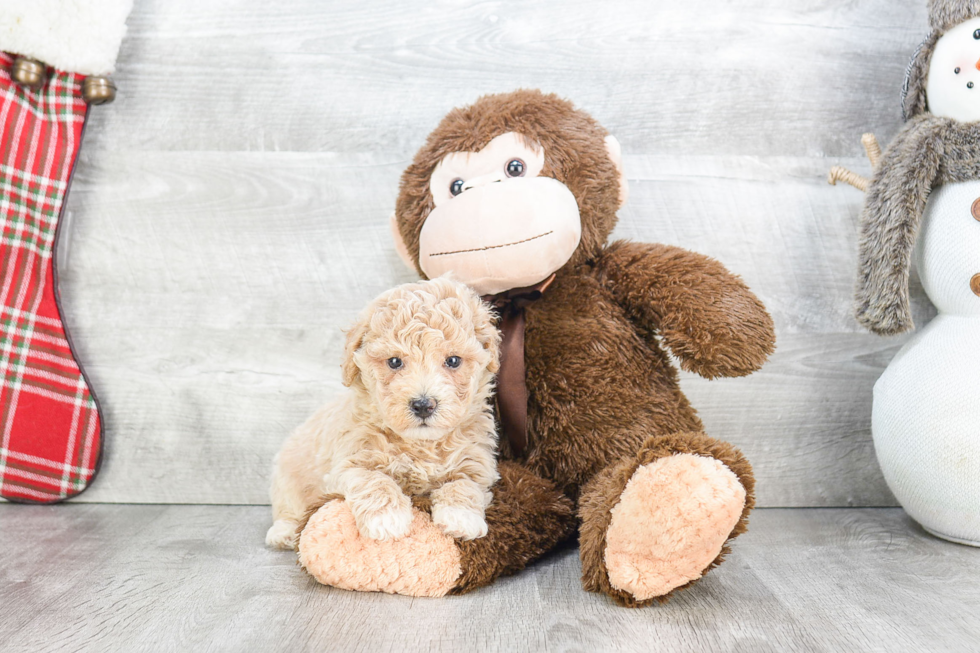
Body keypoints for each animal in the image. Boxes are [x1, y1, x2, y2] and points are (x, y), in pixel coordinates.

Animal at [266, 276, 502, 552]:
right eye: (394, 362)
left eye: (453, 361)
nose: (423, 404)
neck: (420, 445)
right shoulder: (347, 463)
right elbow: (374, 479)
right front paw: (387, 519)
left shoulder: (477, 463)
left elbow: (464, 484)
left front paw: (461, 518)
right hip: (286, 478)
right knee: (287, 510)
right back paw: (283, 532)